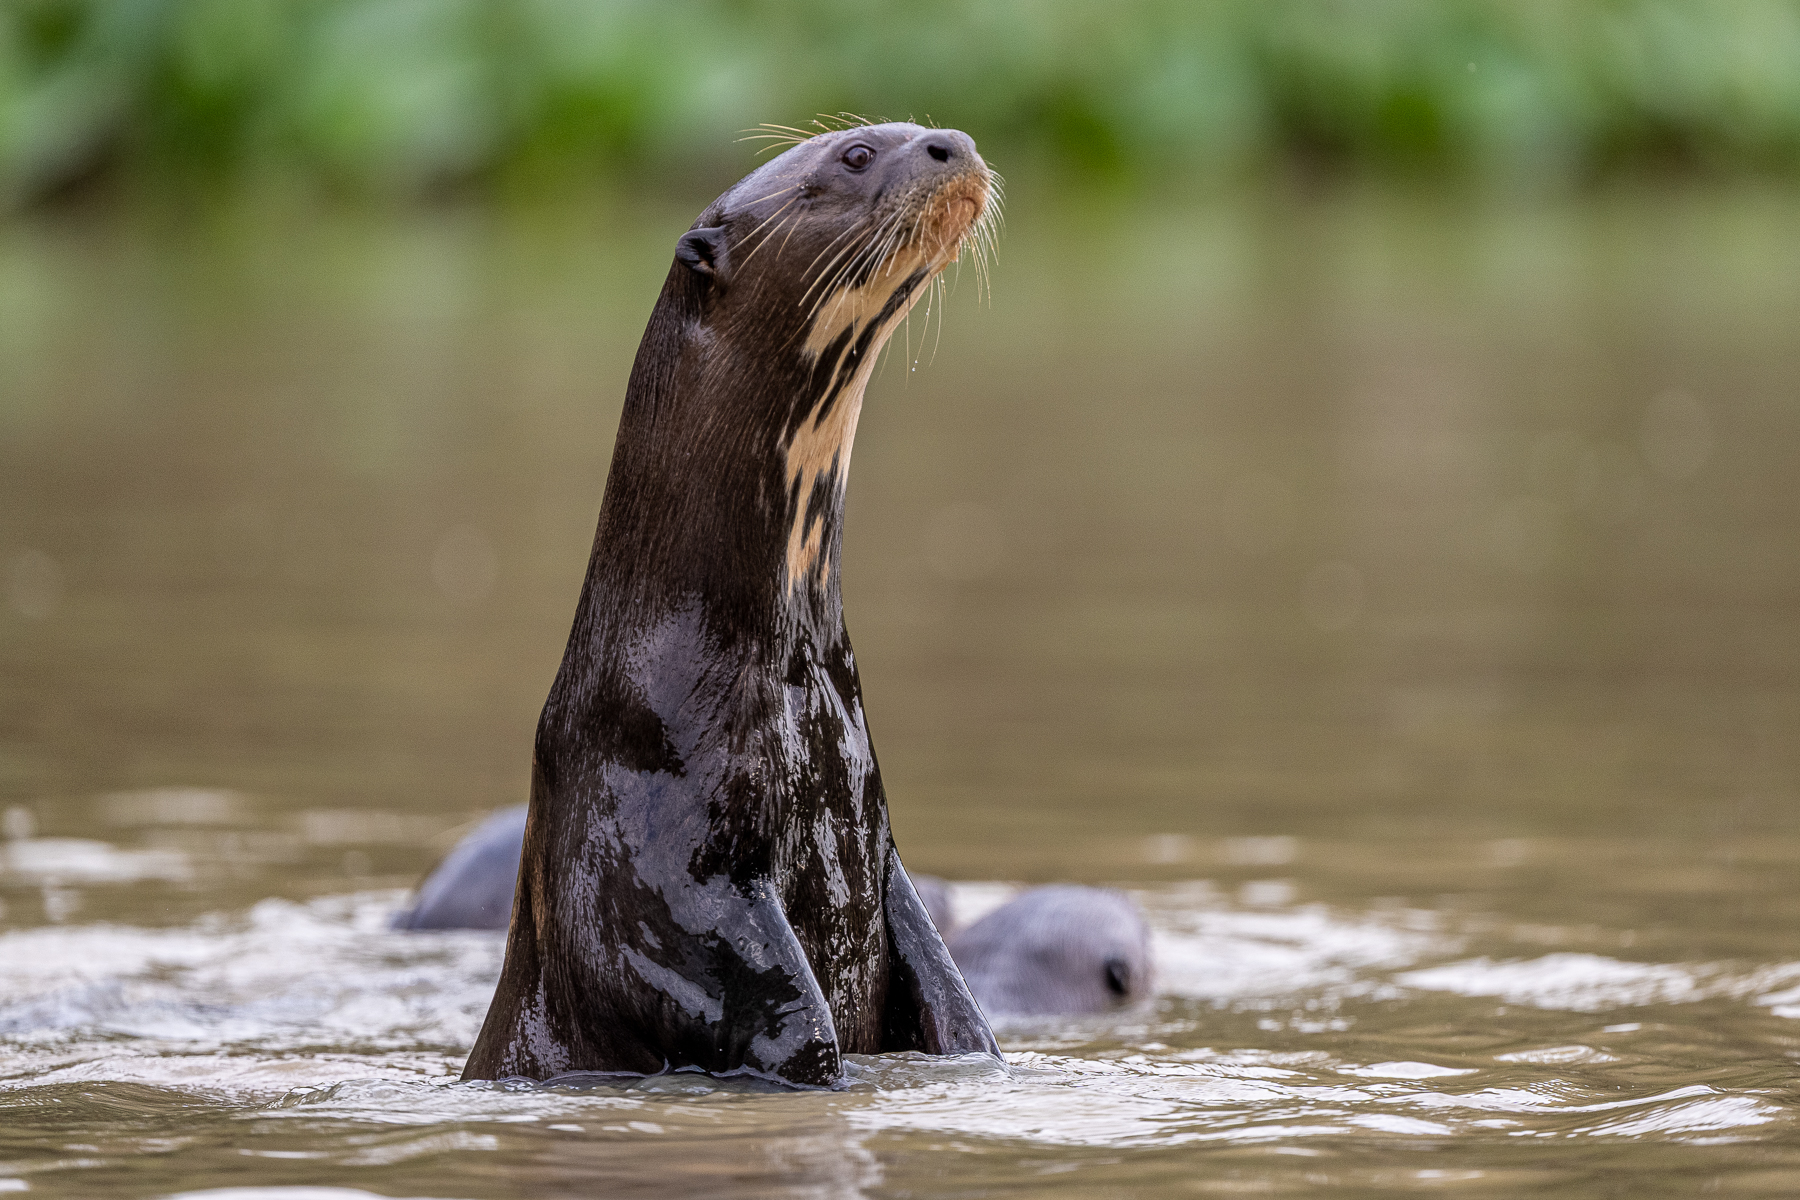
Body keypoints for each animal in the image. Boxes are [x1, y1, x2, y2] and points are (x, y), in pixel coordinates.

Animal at [459, 122, 1001, 1087]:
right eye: (857, 154)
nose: (954, 143)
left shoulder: (876, 839)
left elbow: (953, 996)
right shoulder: (652, 866)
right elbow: (784, 1020)